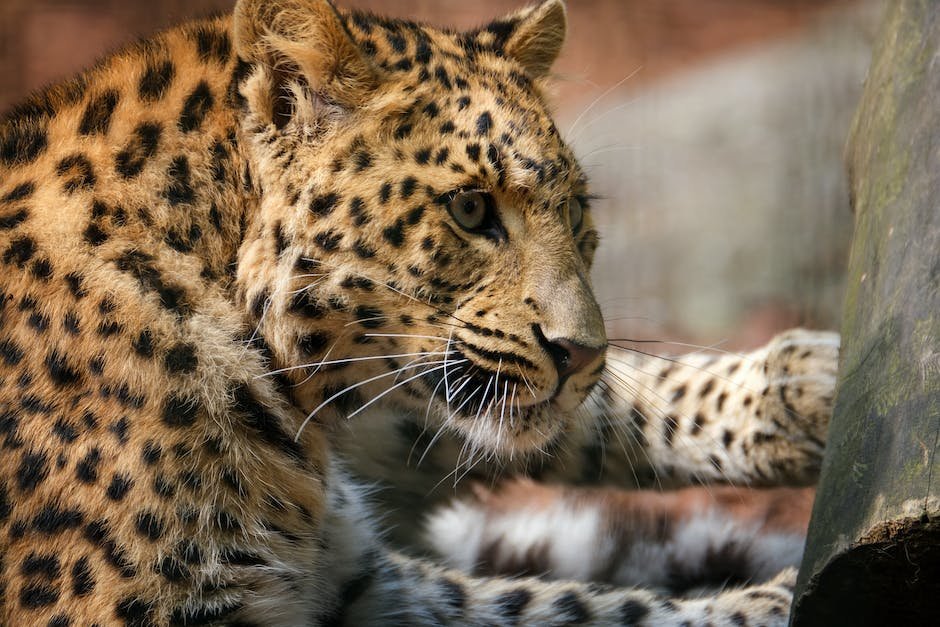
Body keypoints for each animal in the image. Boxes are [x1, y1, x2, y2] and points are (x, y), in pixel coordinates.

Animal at [0, 0, 840, 624]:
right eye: (470, 209)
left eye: (574, 212)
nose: (582, 355)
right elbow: (583, 603)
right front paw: (771, 599)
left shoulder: (360, 581)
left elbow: (560, 600)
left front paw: (798, 390)